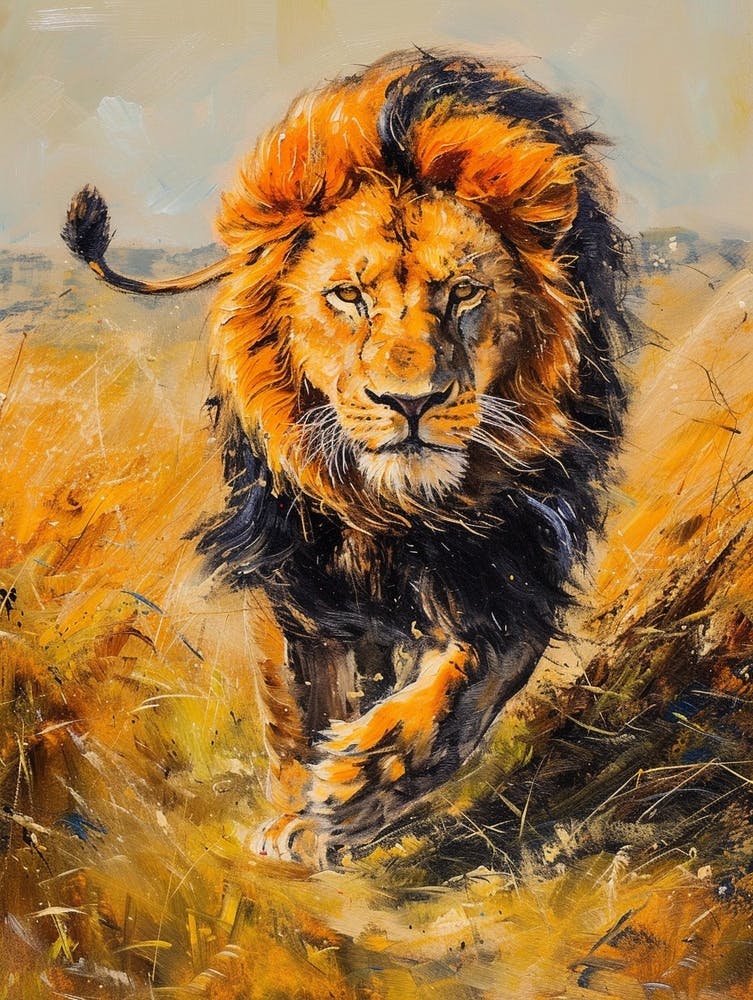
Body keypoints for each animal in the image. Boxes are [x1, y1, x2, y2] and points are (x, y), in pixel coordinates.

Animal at [62, 50, 629, 866]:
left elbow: (464, 690)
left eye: (463, 293)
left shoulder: (516, 559)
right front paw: (298, 817)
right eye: (347, 296)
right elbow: (297, 701)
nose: (411, 402)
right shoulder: (290, 564)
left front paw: (361, 782)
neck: (394, 509)